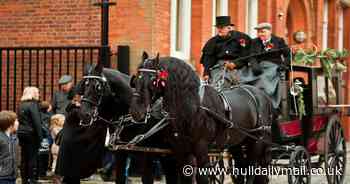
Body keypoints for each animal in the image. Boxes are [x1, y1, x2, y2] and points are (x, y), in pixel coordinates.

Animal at [131, 52, 274, 184]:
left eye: (152, 80)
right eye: (136, 80)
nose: (136, 112)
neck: (193, 108)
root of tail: (262, 94)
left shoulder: (201, 149)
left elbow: (202, 178)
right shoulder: (181, 151)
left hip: (257, 142)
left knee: (253, 169)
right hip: (237, 143)